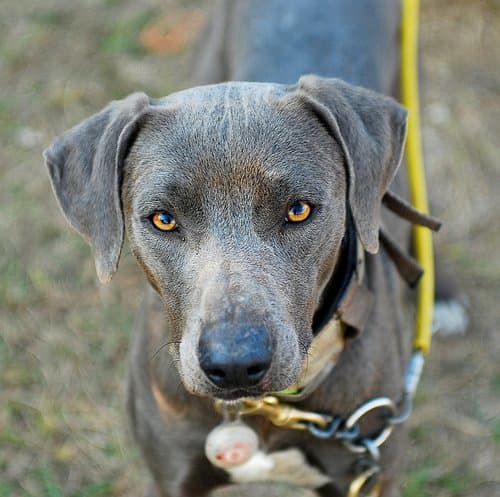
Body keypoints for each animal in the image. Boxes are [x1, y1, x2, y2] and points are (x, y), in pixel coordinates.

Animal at [44, 0, 438, 496]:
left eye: (299, 210)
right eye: (163, 219)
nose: (234, 364)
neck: (266, 410)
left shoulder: (371, 478)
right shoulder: (170, 475)